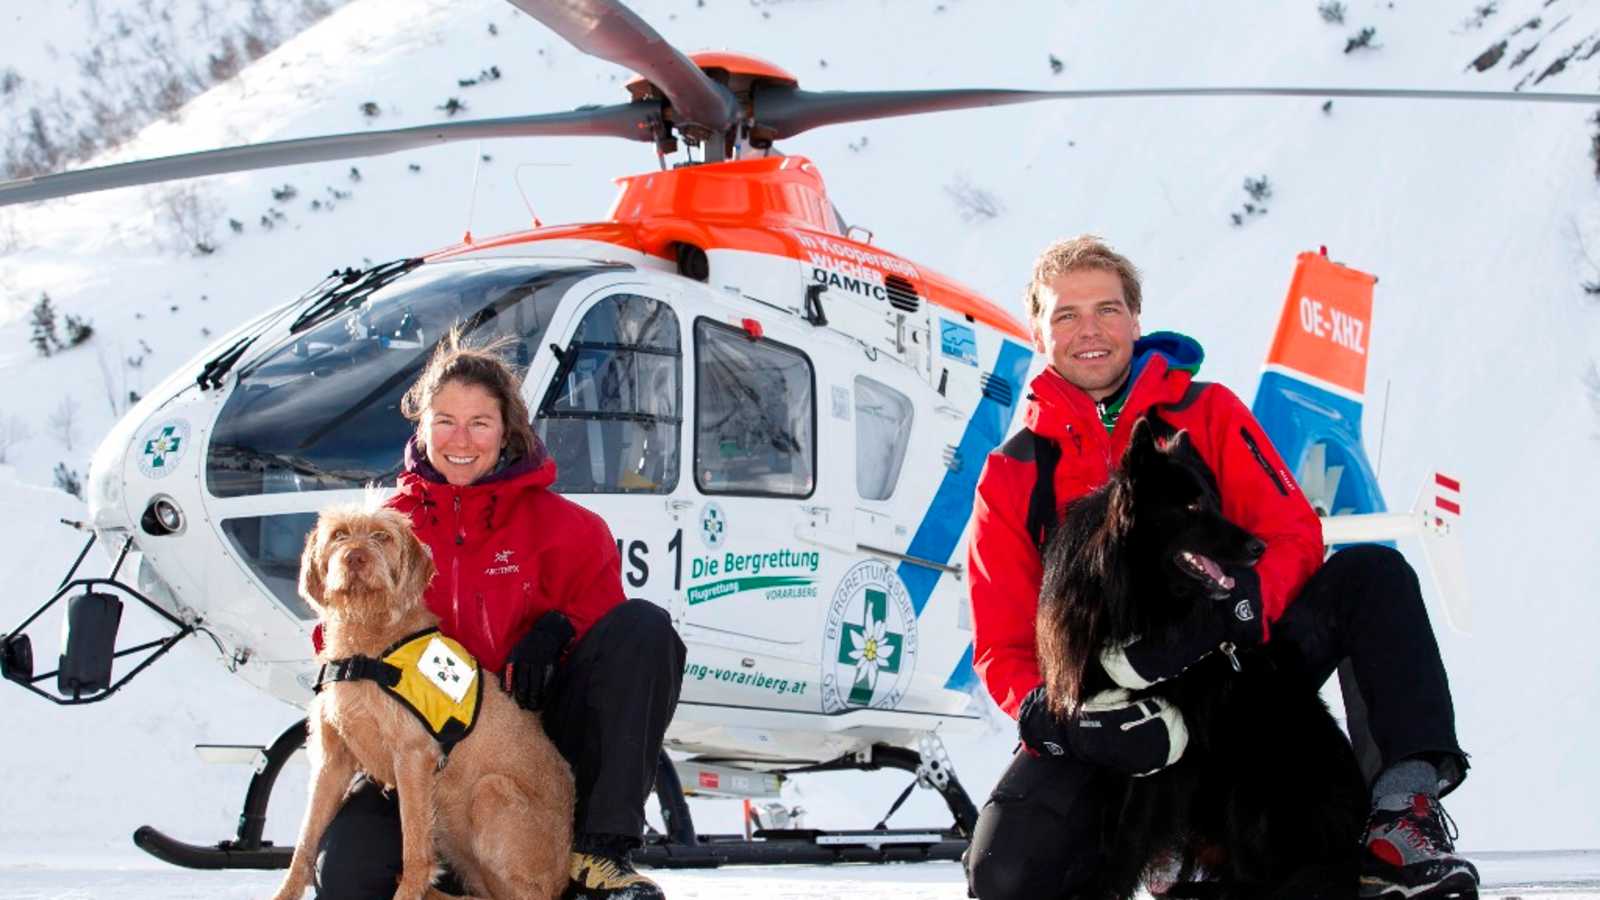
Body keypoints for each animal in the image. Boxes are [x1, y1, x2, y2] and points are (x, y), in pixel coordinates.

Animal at [270, 506, 576, 896]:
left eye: (382, 536)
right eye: (339, 534)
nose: (355, 557)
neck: (366, 644)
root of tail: (561, 875)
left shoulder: (413, 755)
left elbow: (414, 846)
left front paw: (408, 892)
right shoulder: (332, 759)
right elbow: (305, 842)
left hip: (492, 791)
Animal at [1036, 416, 1363, 890]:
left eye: (1213, 502)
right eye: (1191, 507)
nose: (1259, 548)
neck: (1134, 598)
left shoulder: (1171, 753)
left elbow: (1130, 833)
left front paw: (1107, 886)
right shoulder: (1114, 741)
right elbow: (1110, 826)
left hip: (1252, 782)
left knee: (1261, 879)